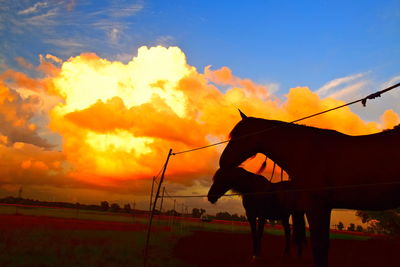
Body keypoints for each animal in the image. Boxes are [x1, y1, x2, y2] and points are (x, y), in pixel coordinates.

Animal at [219, 110, 400, 267]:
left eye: (239, 136)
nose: (222, 161)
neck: (309, 153)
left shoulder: (317, 207)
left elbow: (319, 246)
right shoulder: (321, 208)